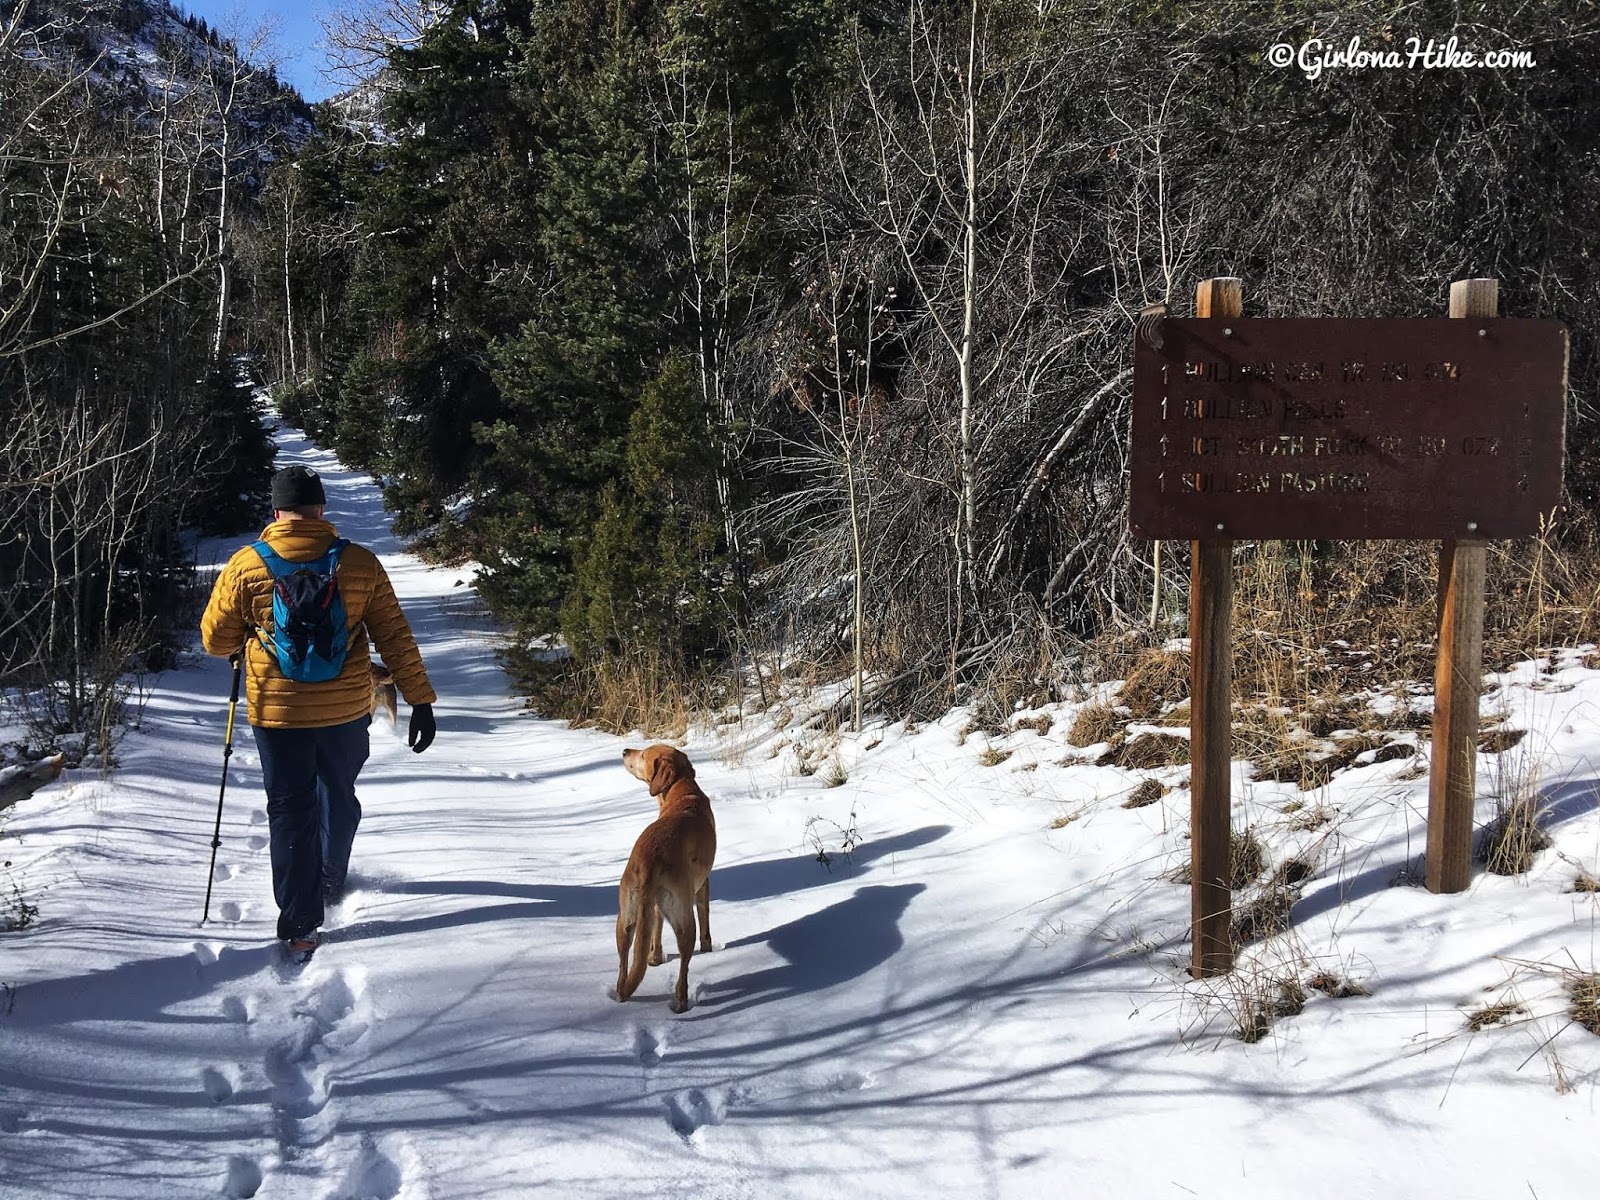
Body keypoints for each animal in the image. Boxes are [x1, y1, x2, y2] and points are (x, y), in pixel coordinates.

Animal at [614, 742, 716, 1017]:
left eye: (643, 754)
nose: (625, 751)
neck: (682, 791)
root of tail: (650, 858)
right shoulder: (703, 884)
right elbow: (705, 916)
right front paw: (708, 947)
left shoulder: (654, 908)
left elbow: (655, 931)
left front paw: (655, 958)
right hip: (684, 919)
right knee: (684, 967)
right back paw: (681, 1002)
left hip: (625, 917)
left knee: (624, 967)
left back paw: (620, 995)